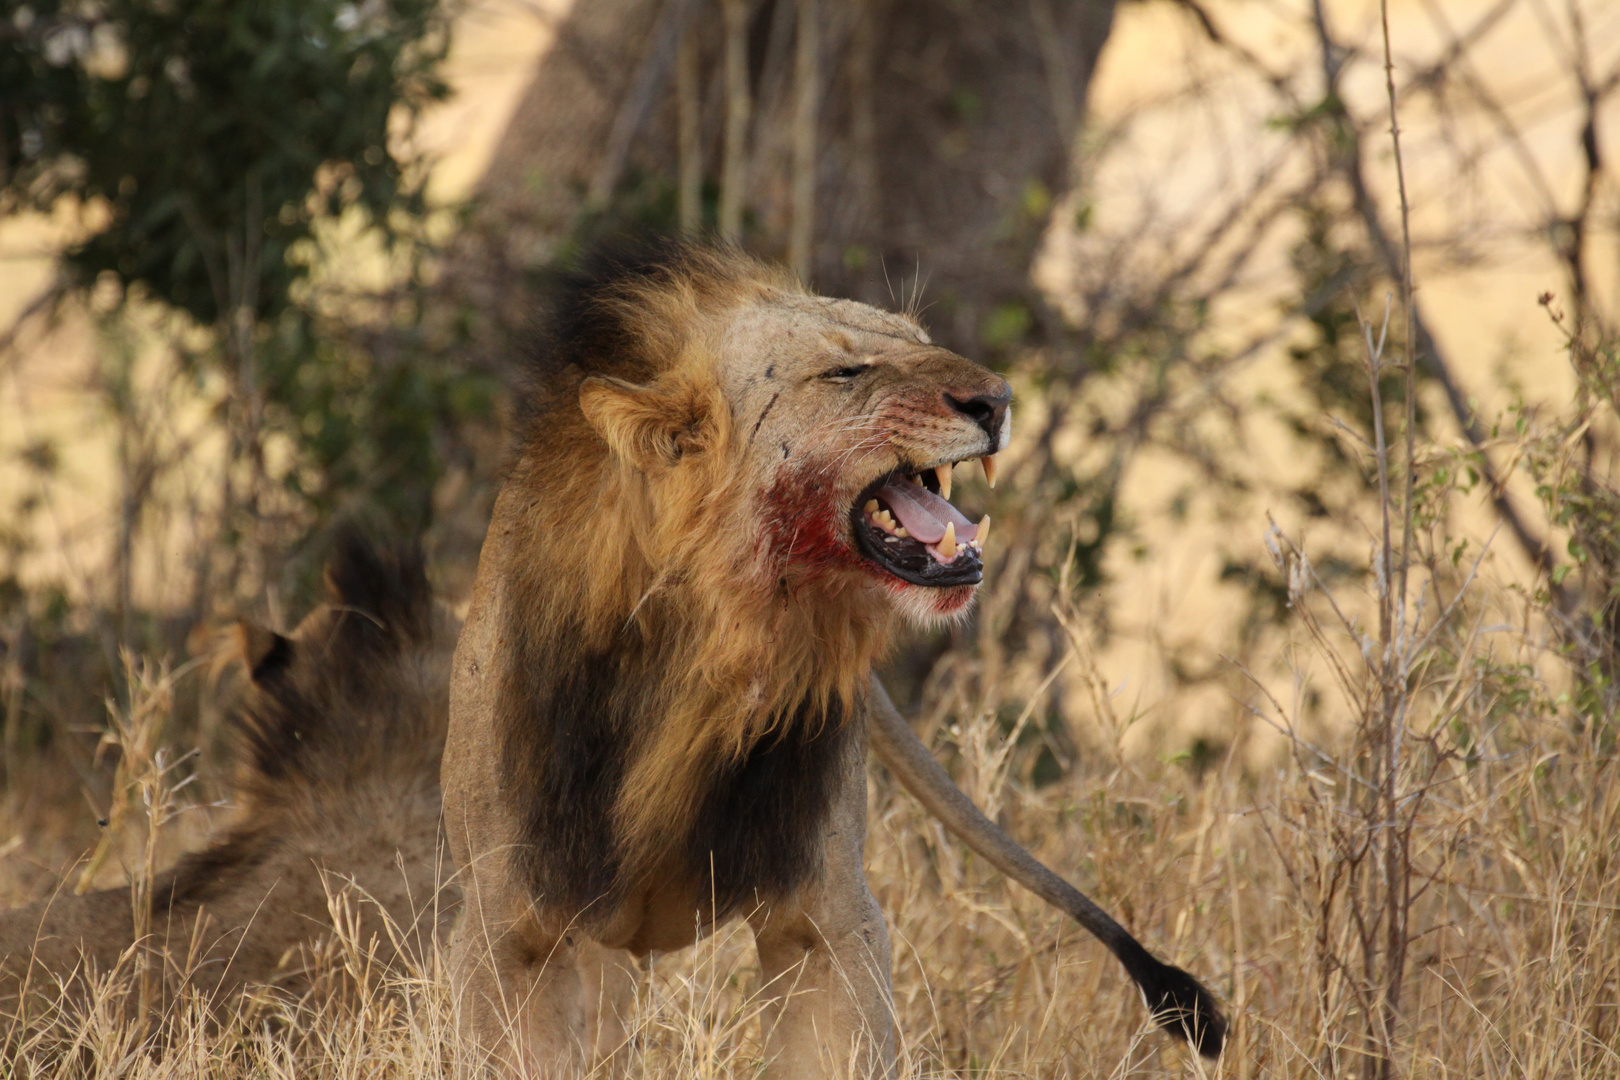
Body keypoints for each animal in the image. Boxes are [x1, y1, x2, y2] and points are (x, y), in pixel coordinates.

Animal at [443, 241, 1224, 1075]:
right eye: (845, 372)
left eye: (919, 340)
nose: (998, 399)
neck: (710, 659)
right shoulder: (506, 928)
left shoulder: (829, 919)